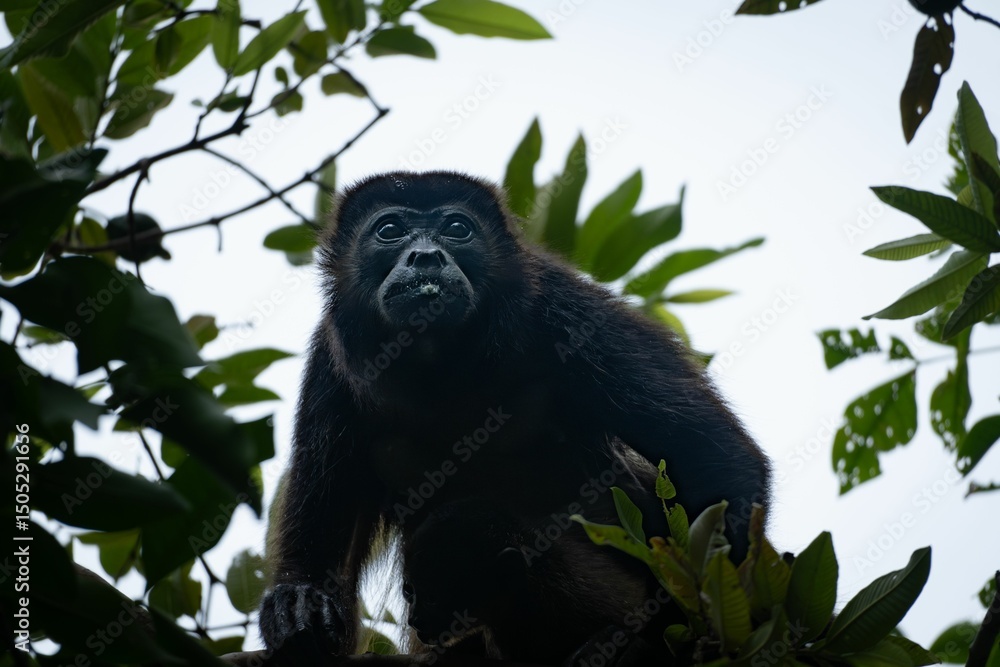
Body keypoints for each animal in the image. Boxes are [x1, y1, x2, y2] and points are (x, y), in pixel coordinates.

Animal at [258, 171, 770, 664]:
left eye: (457, 228)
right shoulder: (330, 362)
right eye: (389, 230)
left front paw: (679, 637)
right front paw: (300, 604)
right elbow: (328, 535)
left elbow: (713, 459)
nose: (426, 258)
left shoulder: (568, 311)